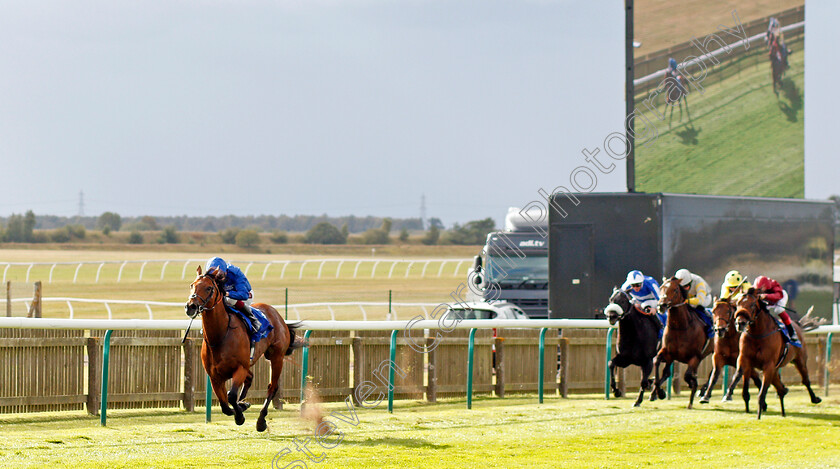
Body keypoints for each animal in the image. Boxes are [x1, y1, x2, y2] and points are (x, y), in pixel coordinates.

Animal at [185, 266, 302, 430]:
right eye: (192, 285)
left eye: (208, 288)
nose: (191, 306)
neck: (220, 335)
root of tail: (277, 315)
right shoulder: (215, 376)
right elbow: (225, 406)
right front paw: (241, 407)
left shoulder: (240, 368)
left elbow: (231, 396)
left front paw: (240, 415)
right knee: (251, 378)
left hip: (276, 357)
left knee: (272, 387)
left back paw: (261, 420)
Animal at [648, 278, 708, 406]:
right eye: (661, 288)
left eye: (675, 289)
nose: (661, 305)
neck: (681, 327)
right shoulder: (668, 353)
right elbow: (656, 362)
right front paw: (659, 392)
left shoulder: (694, 356)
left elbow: (687, 375)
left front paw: (692, 384)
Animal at [720, 288, 820, 418]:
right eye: (737, 304)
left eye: (752, 304)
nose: (740, 323)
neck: (758, 334)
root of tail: (797, 325)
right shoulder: (744, 359)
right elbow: (738, 375)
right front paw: (728, 395)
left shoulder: (768, 365)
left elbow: (762, 393)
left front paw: (758, 416)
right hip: (776, 368)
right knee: (779, 386)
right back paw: (783, 403)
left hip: (800, 360)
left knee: (805, 380)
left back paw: (814, 398)